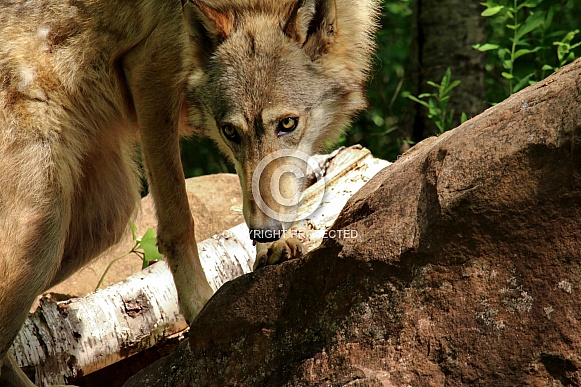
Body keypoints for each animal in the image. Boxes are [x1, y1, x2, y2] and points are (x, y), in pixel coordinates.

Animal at [0, 0, 378, 384]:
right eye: (230, 131)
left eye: (287, 123)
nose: (263, 234)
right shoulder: (150, 70)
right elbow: (179, 218)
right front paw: (201, 309)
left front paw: (273, 246)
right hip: (43, 237)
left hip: (102, 221)